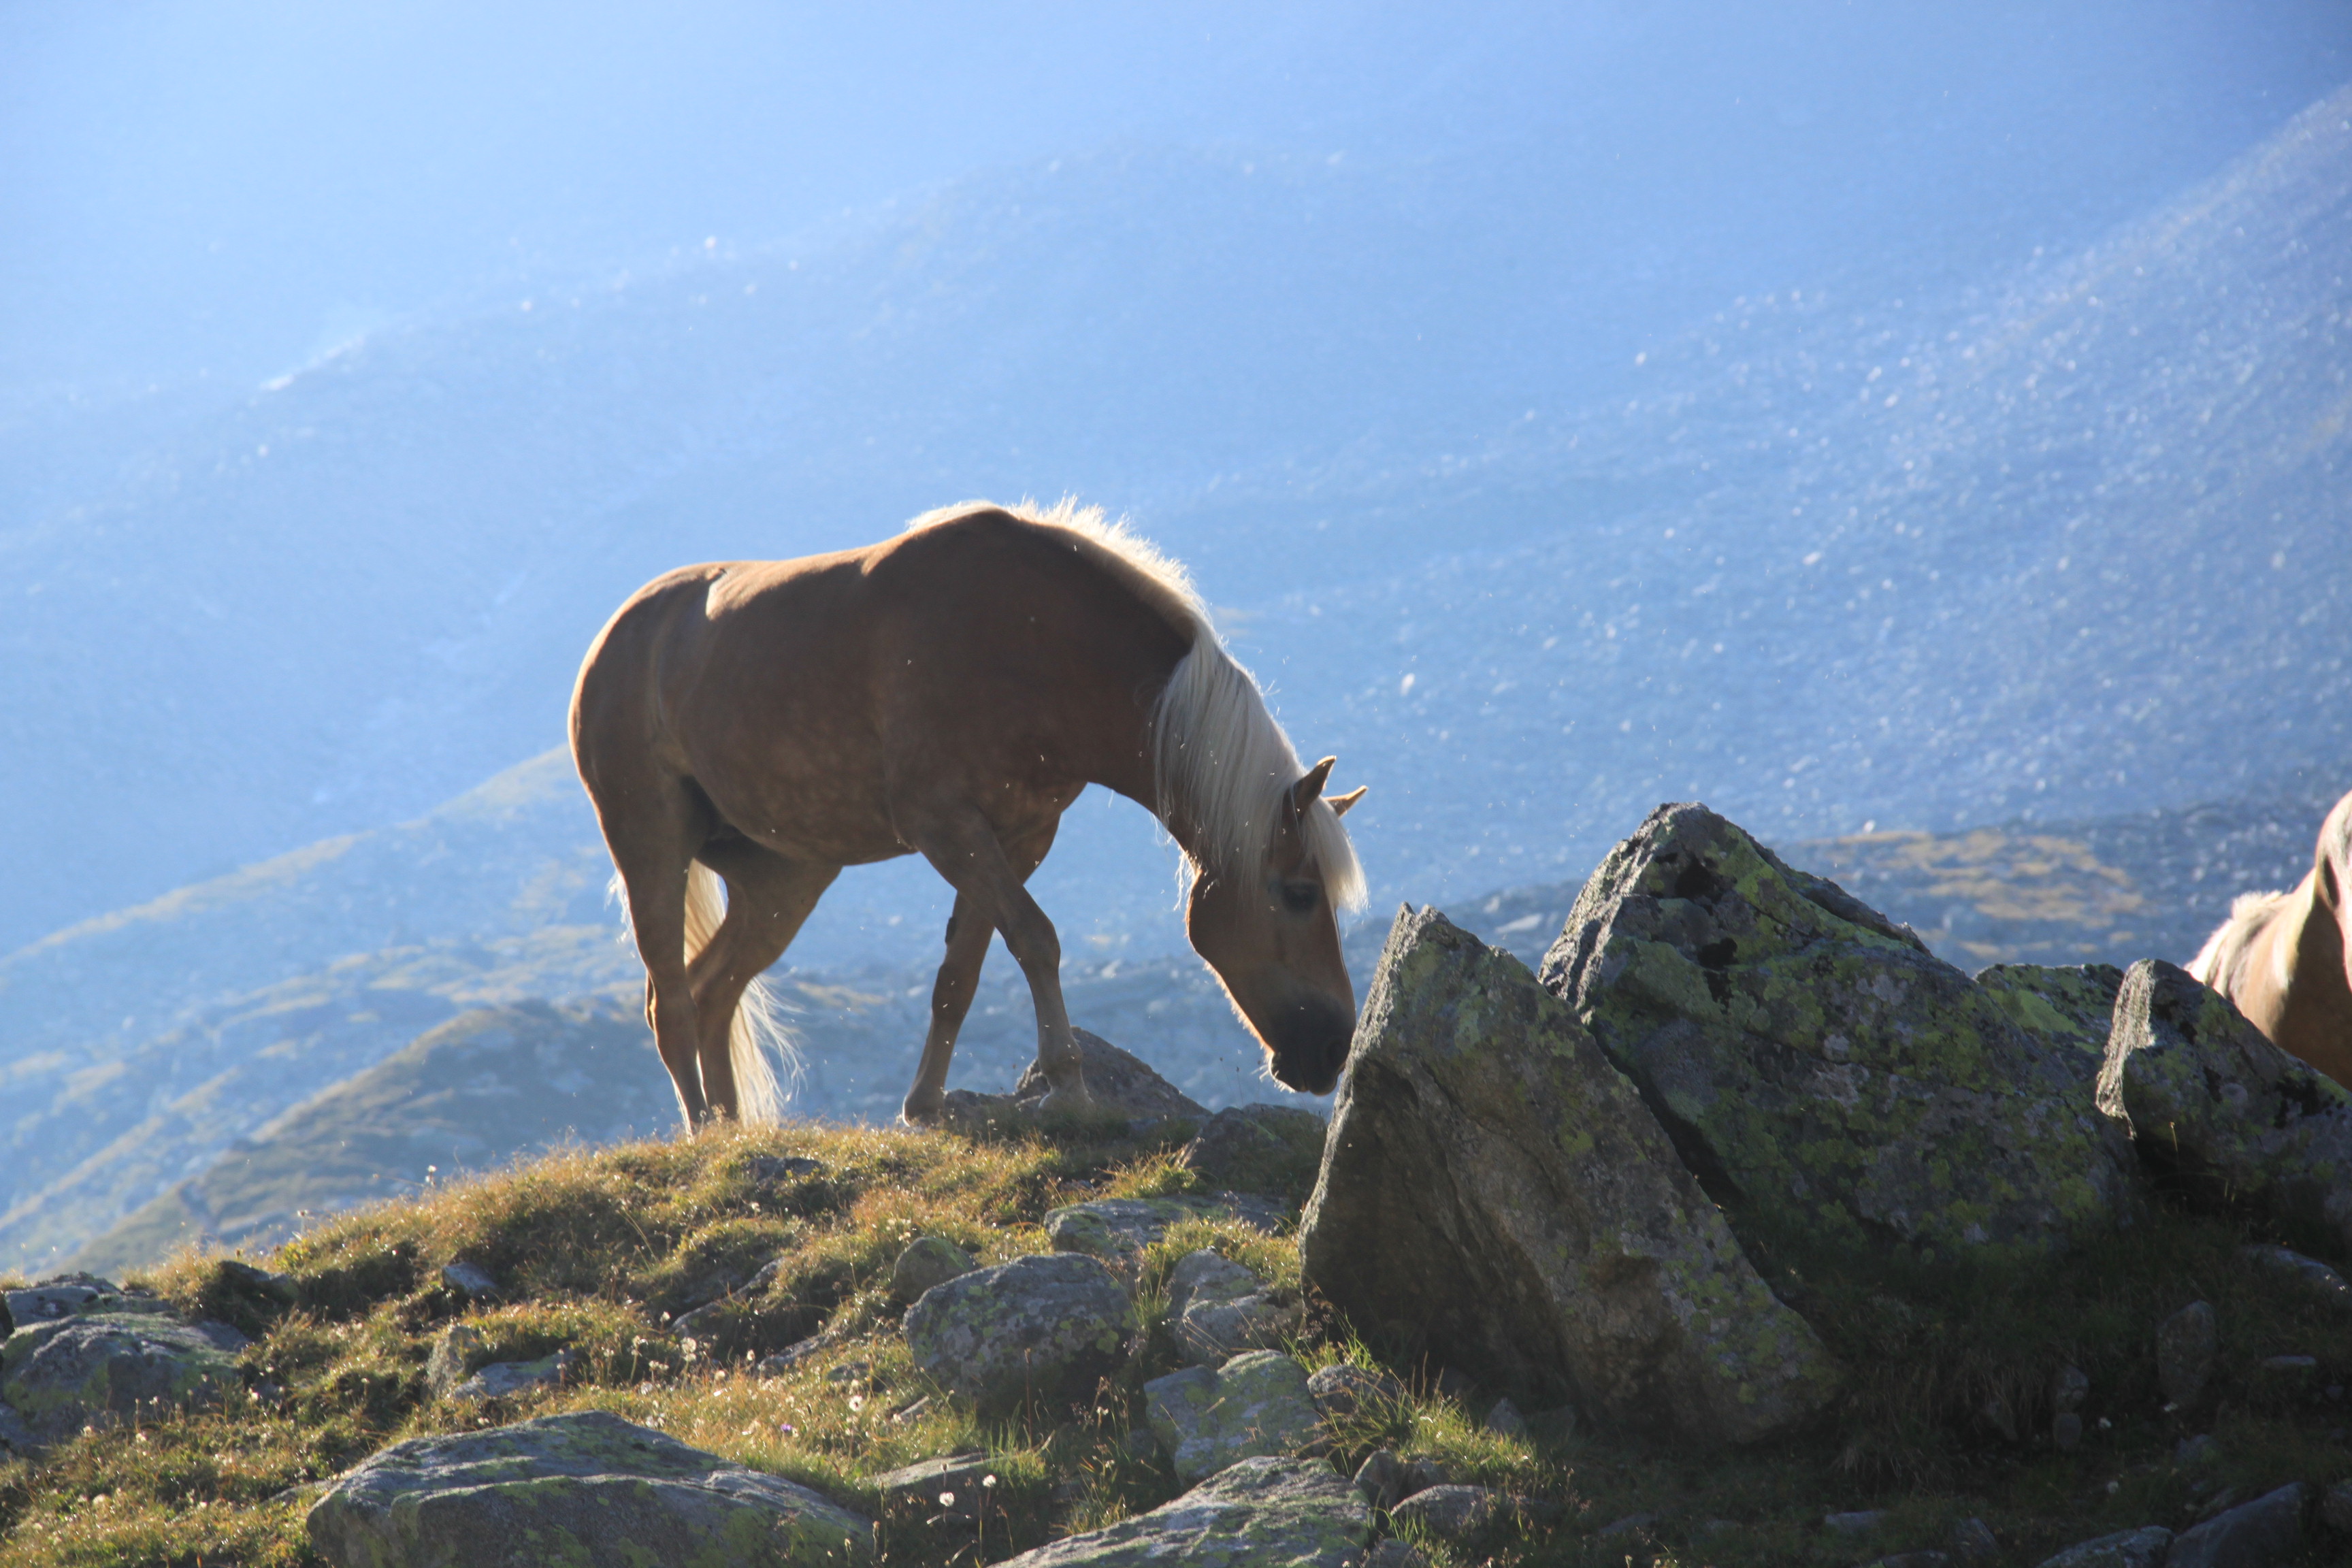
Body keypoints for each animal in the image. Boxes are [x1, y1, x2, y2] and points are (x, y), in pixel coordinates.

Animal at [568, 498, 1368, 1129]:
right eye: (1301, 893)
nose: (1335, 1049)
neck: (1033, 640)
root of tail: (611, 640)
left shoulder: (1014, 839)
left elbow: (961, 974)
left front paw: (924, 1104)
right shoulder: (946, 828)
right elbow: (1036, 941)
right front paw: (1070, 1087)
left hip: (783, 881)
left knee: (715, 992)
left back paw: (734, 1132)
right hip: (651, 846)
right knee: (670, 1001)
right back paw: (704, 1132)